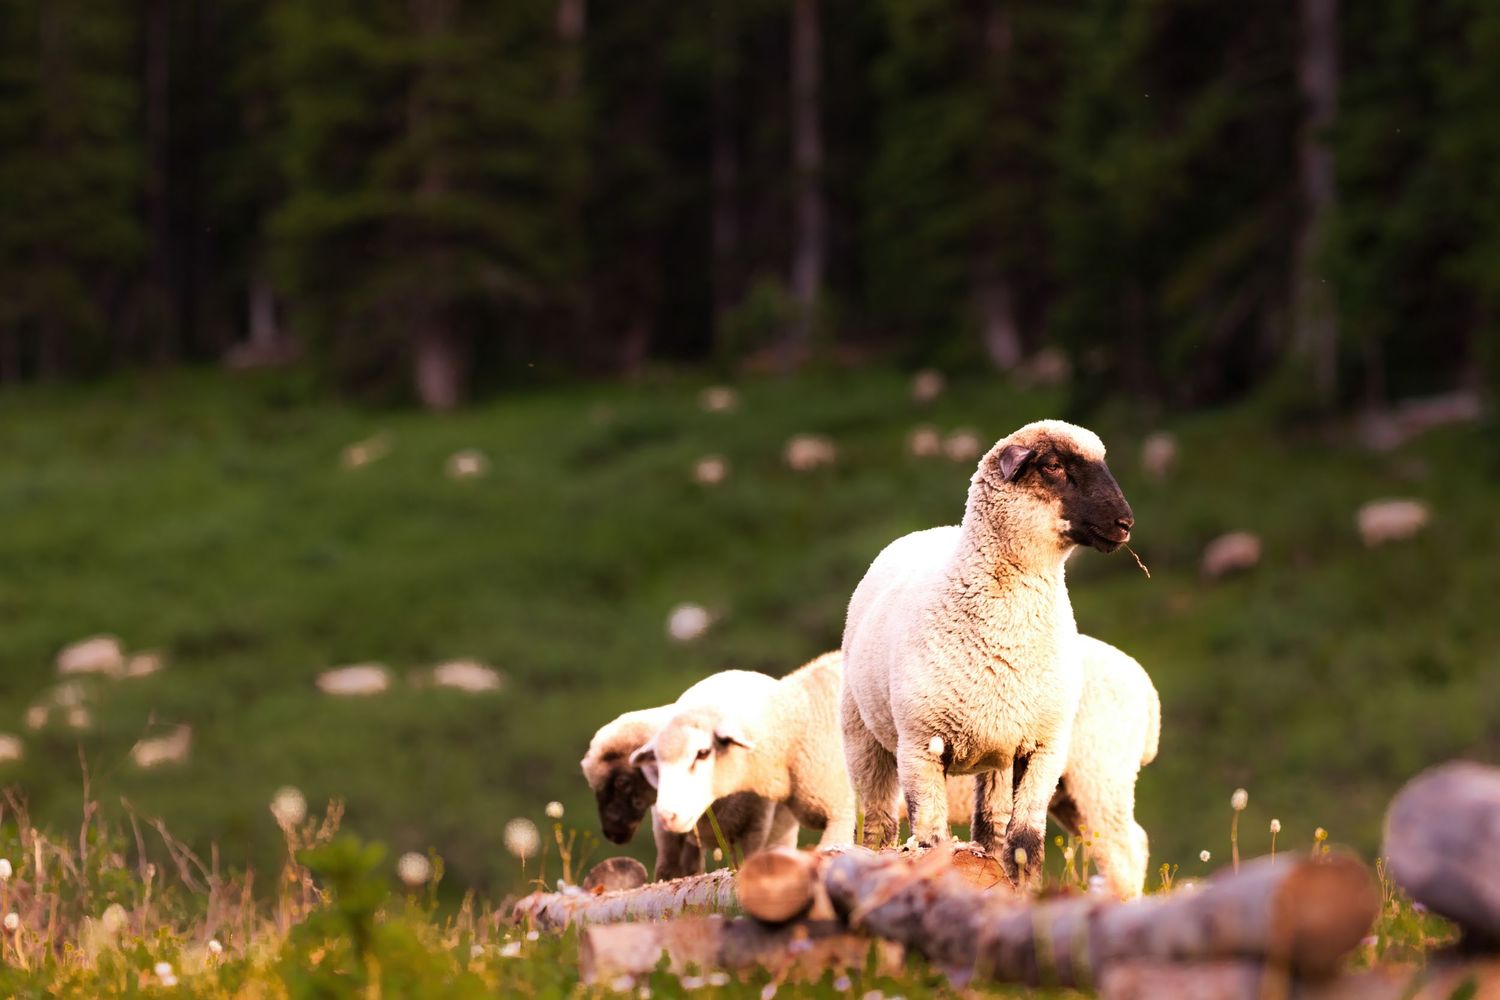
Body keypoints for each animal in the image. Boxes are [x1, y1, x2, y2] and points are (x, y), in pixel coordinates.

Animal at [841, 419, 1134, 888]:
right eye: (1052, 465)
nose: (1124, 523)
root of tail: (931, 531)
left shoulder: (1045, 747)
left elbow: (1025, 844)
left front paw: (1027, 893)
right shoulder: (920, 747)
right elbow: (931, 842)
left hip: (1004, 749)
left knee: (991, 828)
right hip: (864, 737)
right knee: (879, 824)